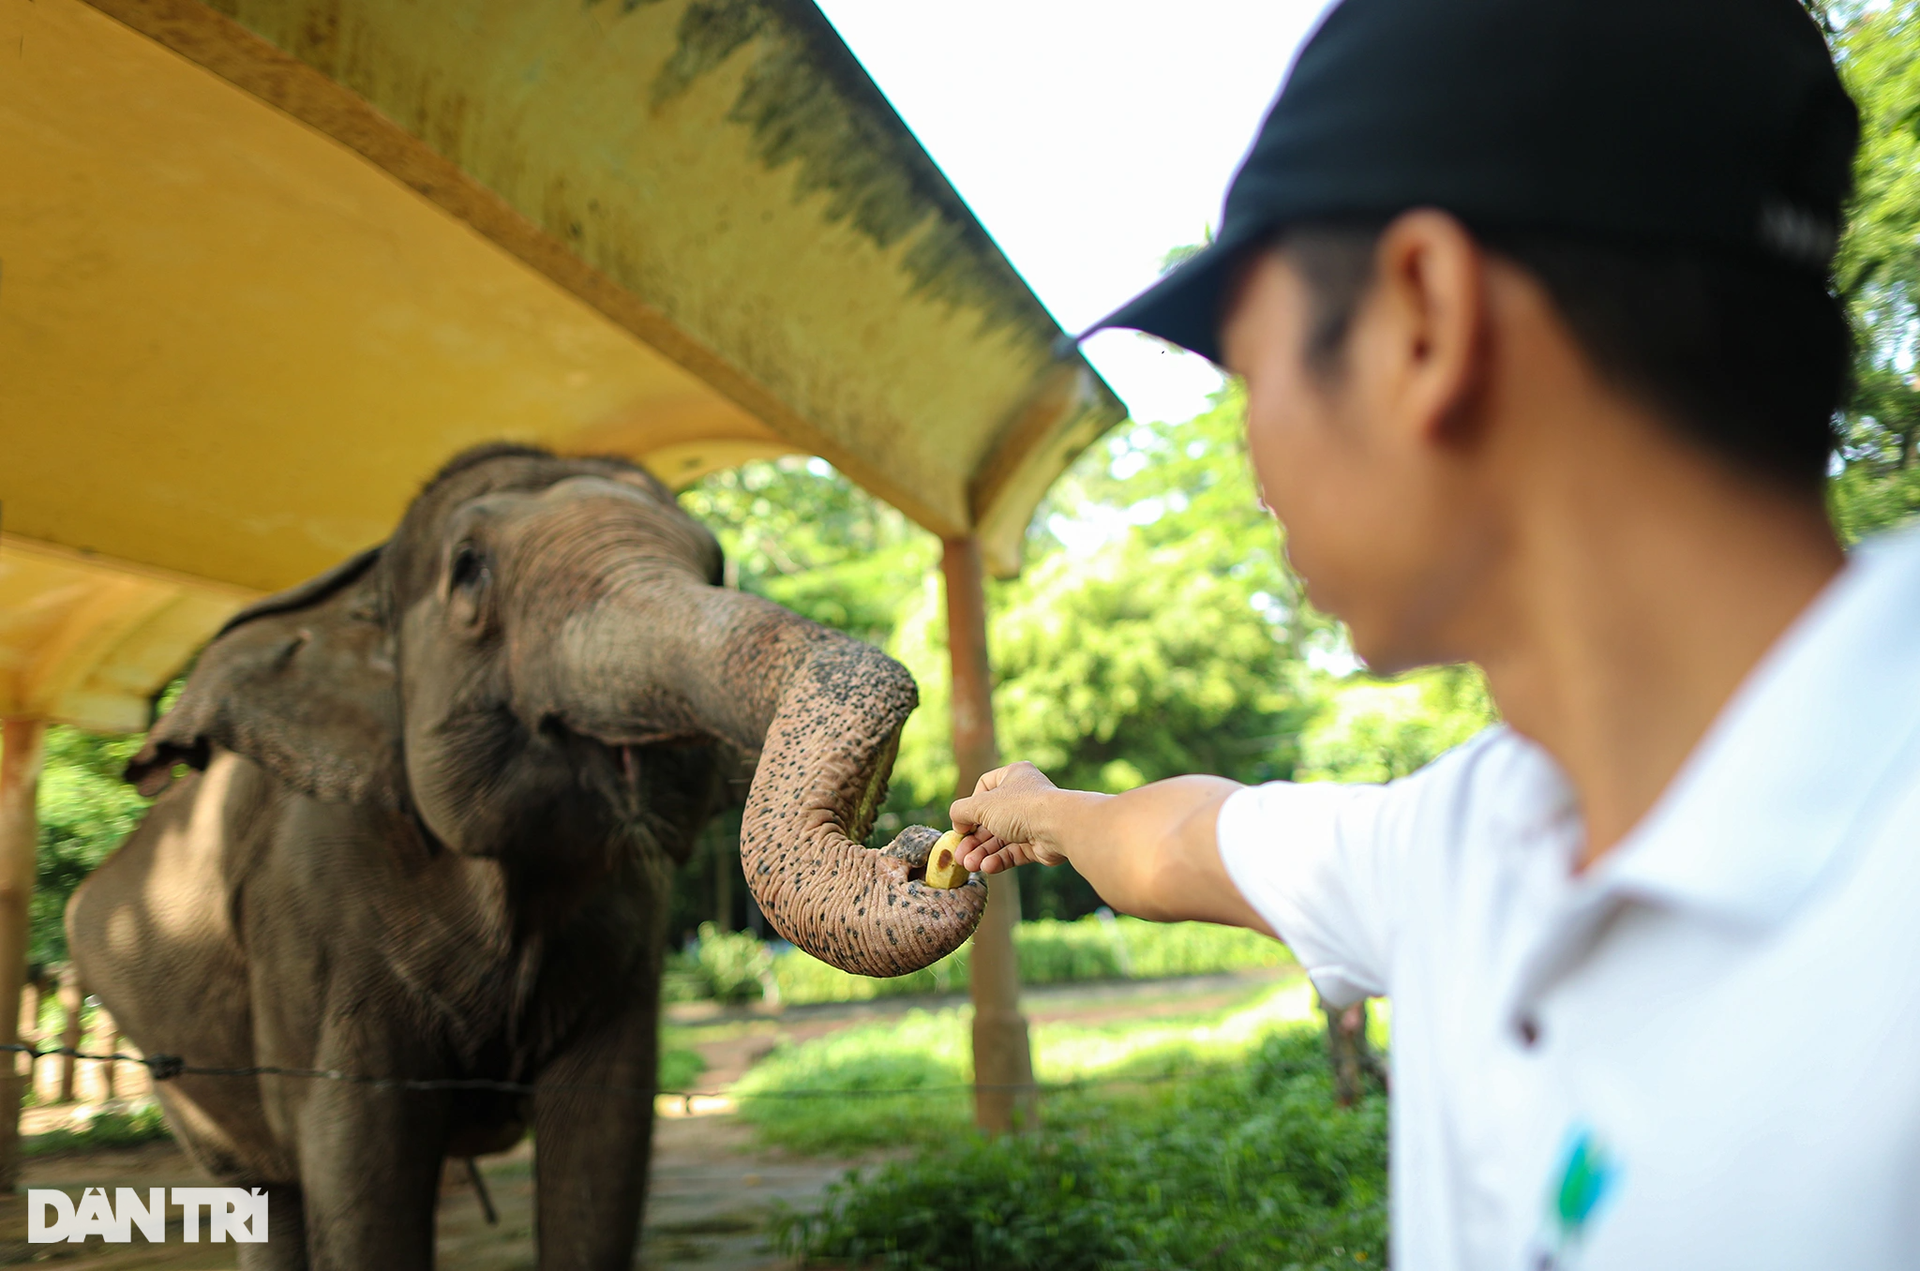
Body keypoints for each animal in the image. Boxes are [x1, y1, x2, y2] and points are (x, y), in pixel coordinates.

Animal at [65, 447, 983, 1271]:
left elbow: (603, 1148)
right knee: (271, 1193)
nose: (922, 850)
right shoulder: (306, 920)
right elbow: (359, 1167)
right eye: (468, 570)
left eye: (715, 561)